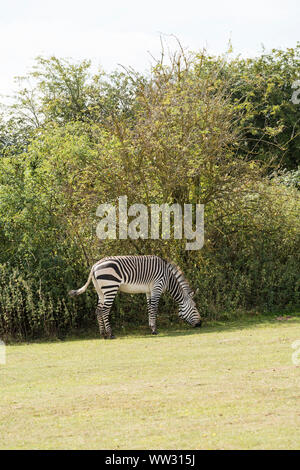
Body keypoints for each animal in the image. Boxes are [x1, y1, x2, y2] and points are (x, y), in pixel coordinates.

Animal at [69, 253, 203, 338]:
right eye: (195, 307)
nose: (200, 324)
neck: (168, 278)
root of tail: (95, 266)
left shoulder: (149, 291)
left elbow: (150, 308)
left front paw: (151, 327)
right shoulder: (157, 287)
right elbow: (154, 308)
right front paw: (154, 330)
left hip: (100, 291)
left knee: (98, 310)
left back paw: (103, 334)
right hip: (110, 287)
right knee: (105, 310)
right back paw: (110, 334)